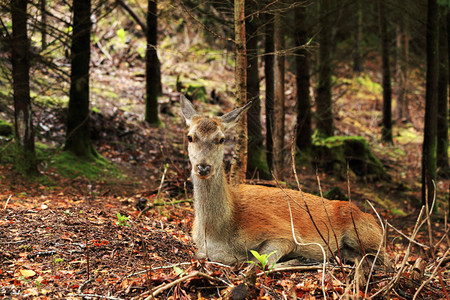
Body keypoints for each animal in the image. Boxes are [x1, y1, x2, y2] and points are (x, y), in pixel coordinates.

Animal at [181, 95, 384, 266]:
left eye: (221, 139)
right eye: (190, 137)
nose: (203, 167)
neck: (217, 231)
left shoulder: (284, 235)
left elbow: (258, 261)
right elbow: (202, 254)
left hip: (365, 234)